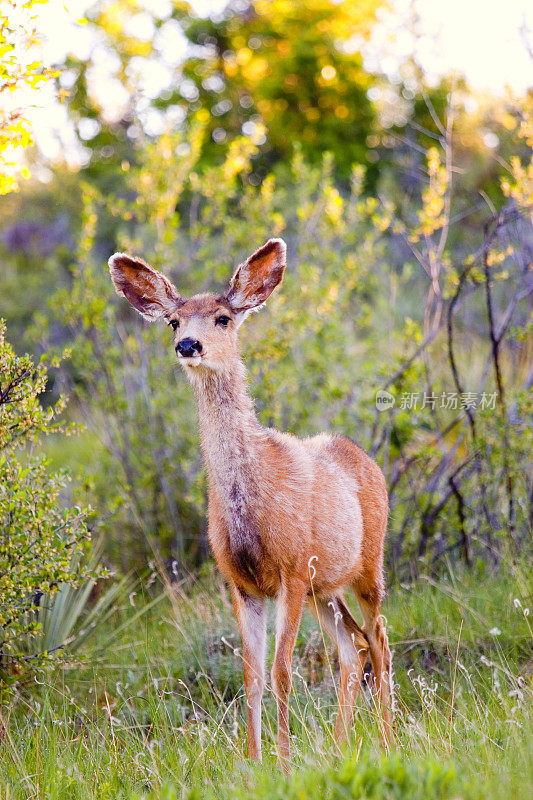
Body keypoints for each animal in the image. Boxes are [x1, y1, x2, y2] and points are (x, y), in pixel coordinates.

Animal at [108, 239, 392, 768]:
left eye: (222, 318)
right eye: (174, 321)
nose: (188, 346)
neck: (249, 509)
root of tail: (366, 458)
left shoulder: (292, 569)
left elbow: (281, 671)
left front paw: (282, 762)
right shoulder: (242, 582)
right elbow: (251, 676)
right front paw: (254, 763)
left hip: (368, 565)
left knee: (379, 637)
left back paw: (387, 742)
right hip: (327, 587)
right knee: (354, 647)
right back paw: (342, 749)